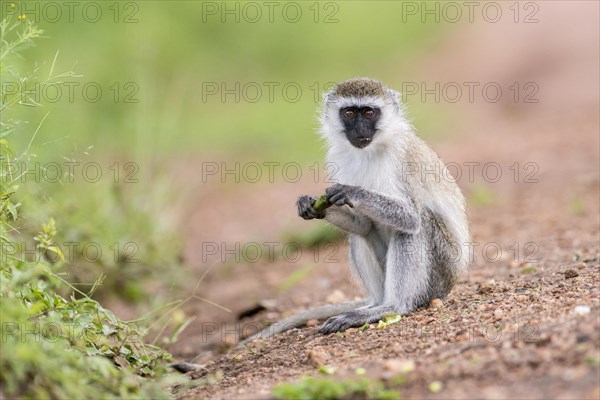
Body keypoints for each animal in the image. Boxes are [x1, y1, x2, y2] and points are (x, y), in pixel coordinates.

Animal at [244, 79, 468, 344]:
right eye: (349, 113)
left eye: (369, 113)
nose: (360, 129)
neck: (369, 151)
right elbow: (363, 224)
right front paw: (311, 204)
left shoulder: (403, 157)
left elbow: (411, 217)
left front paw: (352, 192)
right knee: (362, 234)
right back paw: (372, 306)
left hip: (441, 273)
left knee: (416, 225)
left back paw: (392, 307)